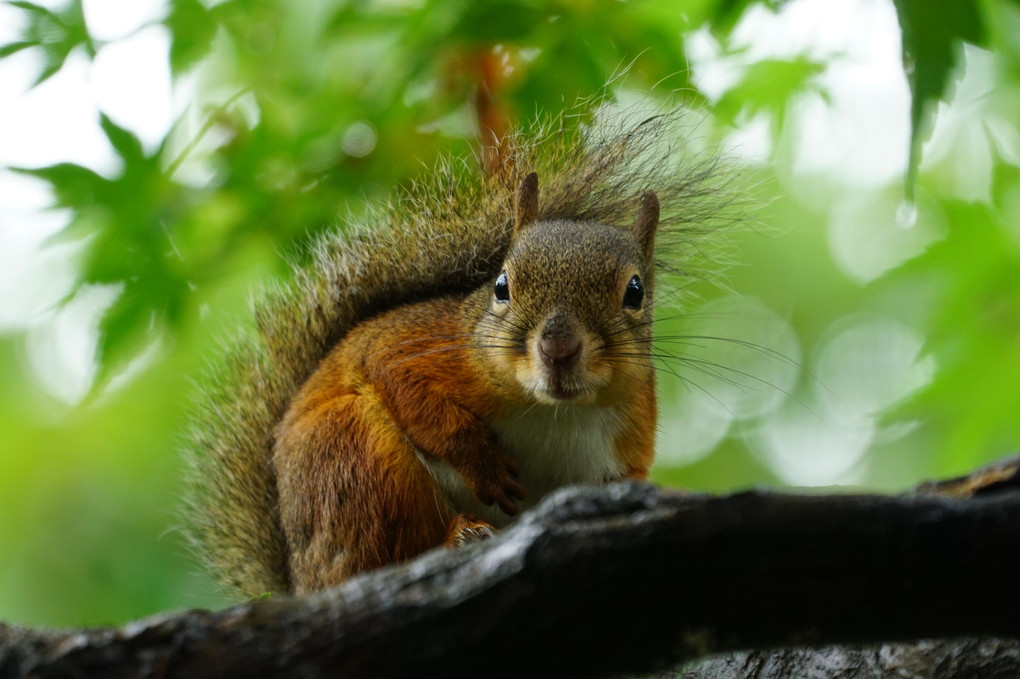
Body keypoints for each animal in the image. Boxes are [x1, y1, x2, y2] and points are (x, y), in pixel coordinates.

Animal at [183, 108, 726, 595]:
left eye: (635, 292)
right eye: (502, 285)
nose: (558, 348)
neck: (553, 412)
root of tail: (301, 582)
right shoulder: (418, 347)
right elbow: (404, 385)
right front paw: (480, 461)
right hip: (354, 460)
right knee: (377, 559)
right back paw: (456, 536)